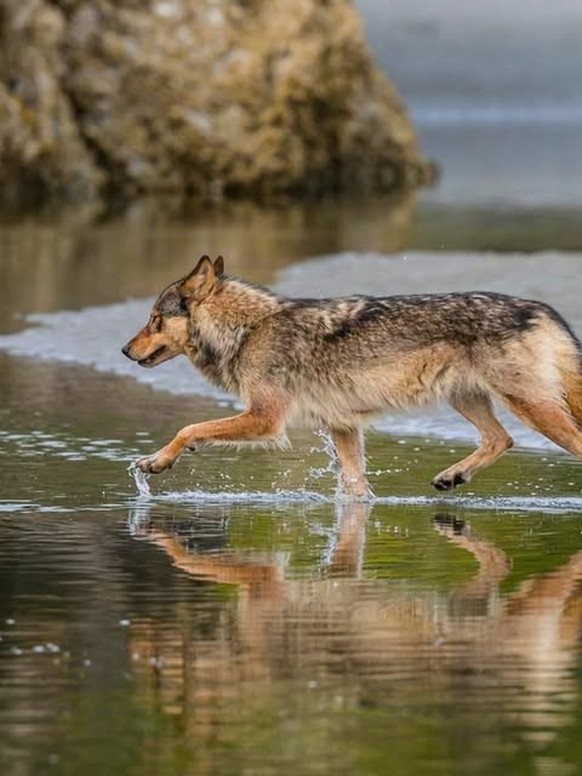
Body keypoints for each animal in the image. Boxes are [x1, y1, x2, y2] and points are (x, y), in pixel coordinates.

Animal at [122, 255, 582, 499]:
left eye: (154, 318)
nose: (124, 350)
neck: (249, 329)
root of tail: (544, 310)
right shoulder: (342, 427)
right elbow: (357, 489)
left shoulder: (266, 420)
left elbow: (189, 429)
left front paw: (155, 461)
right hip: (468, 400)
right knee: (500, 439)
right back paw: (453, 476)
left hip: (530, 407)